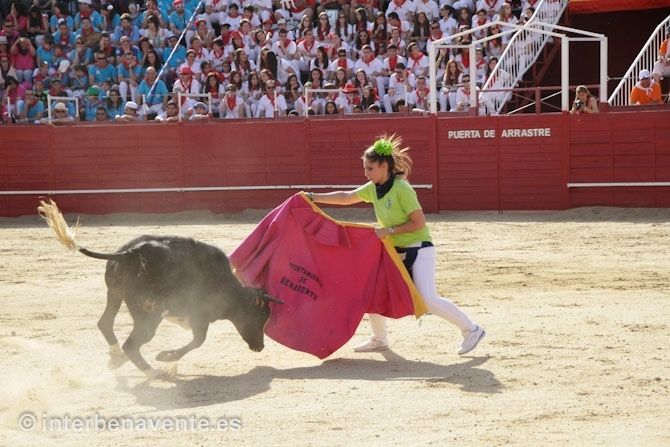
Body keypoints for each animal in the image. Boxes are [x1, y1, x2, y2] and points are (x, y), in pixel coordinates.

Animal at [38, 199, 283, 379]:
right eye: (260, 316)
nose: (260, 347)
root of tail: (129, 253)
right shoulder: (200, 316)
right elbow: (198, 341)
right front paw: (165, 357)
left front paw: (120, 362)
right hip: (148, 314)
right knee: (132, 343)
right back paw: (154, 372)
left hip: (115, 295)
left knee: (106, 324)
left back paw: (116, 356)